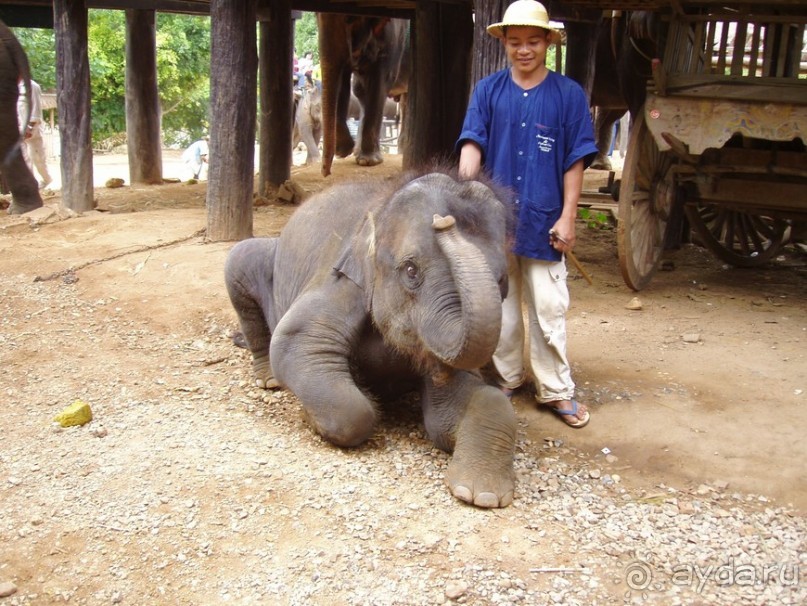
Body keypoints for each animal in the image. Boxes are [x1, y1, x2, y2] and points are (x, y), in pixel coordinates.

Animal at [227, 170, 516, 508]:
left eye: (501, 281)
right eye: (410, 270)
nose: (444, 222)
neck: (380, 209)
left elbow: (457, 411)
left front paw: (481, 495)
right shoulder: (343, 281)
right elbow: (295, 342)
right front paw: (314, 416)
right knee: (240, 260)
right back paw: (269, 379)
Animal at [318, 13, 410, 178]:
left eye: (350, 19)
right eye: (315, 15)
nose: (326, 173)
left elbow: (380, 81)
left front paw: (368, 161)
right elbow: (347, 83)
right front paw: (345, 151)